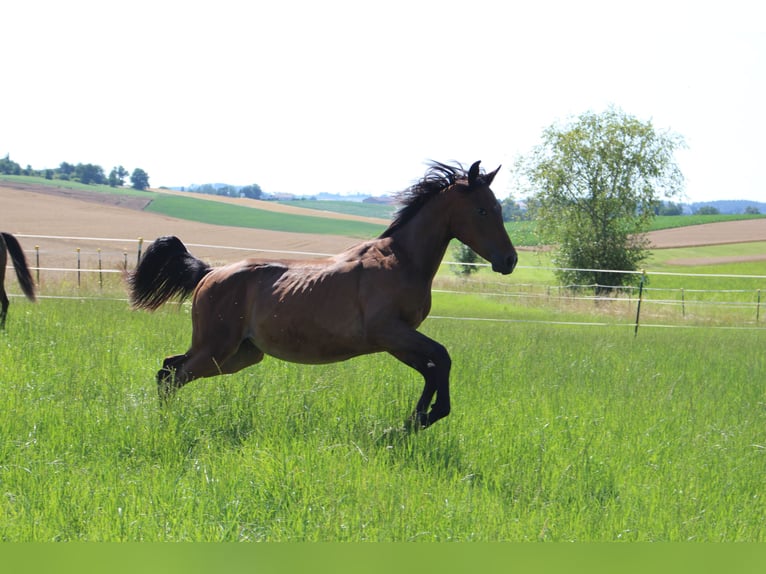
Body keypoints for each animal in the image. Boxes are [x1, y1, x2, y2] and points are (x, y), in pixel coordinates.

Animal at [128, 161, 518, 429]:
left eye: (499, 208)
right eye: (482, 209)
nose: (509, 260)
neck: (400, 260)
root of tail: (209, 273)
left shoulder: (396, 340)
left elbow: (433, 368)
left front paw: (413, 422)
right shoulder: (390, 332)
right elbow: (442, 358)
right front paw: (421, 418)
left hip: (239, 354)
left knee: (168, 368)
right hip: (217, 348)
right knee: (171, 376)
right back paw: (165, 425)